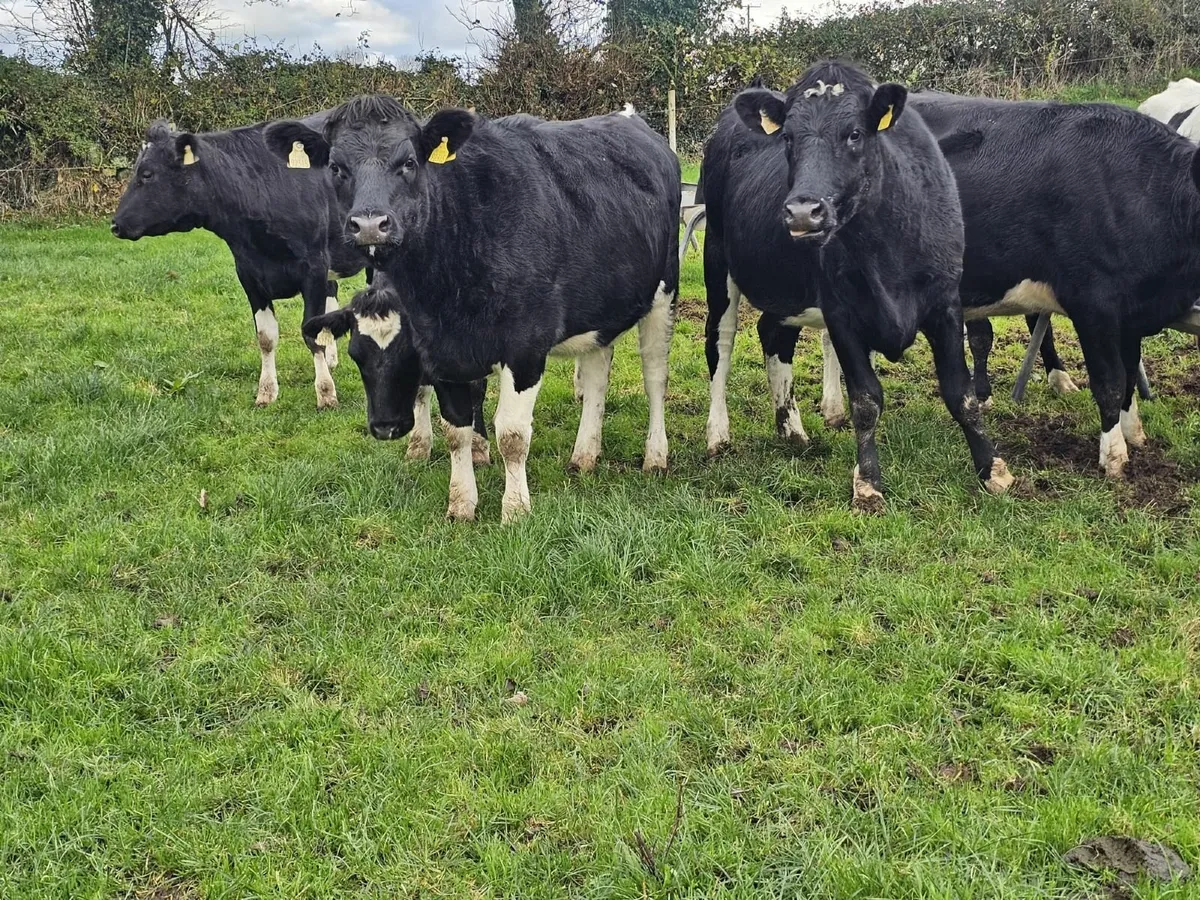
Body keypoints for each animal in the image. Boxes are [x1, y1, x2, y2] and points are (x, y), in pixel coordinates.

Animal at [111, 114, 364, 410]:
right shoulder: (249, 274)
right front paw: (266, 392)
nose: (115, 224)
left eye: (147, 174)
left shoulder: (313, 268)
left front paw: (326, 393)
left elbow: (310, 334)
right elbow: (266, 337)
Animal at [265, 97, 680, 522]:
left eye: (409, 162)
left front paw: (515, 509)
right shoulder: (442, 351)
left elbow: (512, 434)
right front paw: (461, 502)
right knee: (597, 374)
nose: (369, 225)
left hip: (663, 293)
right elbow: (455, 431)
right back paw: (584, 456)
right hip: (598, 309)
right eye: (336, 167)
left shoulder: (525, 348)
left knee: (655, 377)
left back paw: (655, 456)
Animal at [702, 60, 1013, 510]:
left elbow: (962, 394)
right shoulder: (842, 314)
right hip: (717, 259)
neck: (886, 250)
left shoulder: (946, 304)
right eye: (788, 137)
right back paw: (718, 434)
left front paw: (992, 469)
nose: (803, 212)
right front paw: (868, 481)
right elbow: (866, 400)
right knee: (720, 343)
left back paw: (791, 429)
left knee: (773, 333)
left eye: (854, 133)